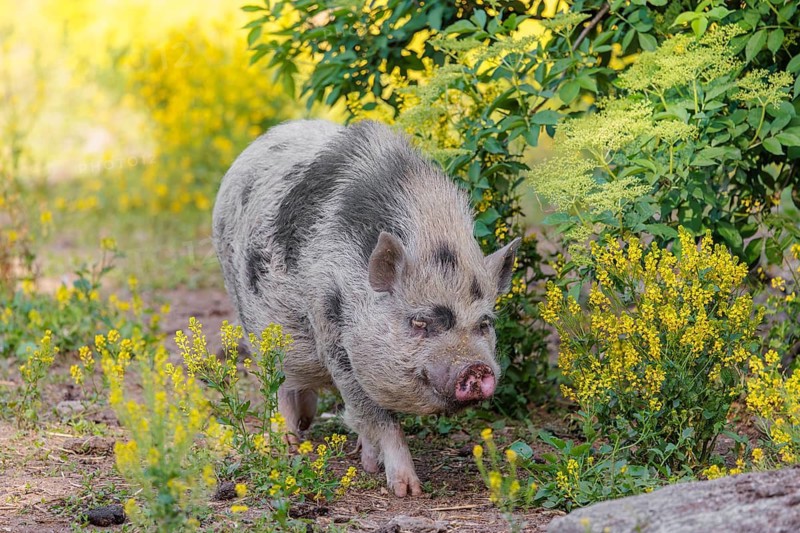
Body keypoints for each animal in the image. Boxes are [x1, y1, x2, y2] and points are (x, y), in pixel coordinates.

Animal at [212, 119, 520, 497]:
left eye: (484, 323)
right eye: (420, 322)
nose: (475, 367)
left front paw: (370, 462)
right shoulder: (334, 338)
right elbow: (376, 416)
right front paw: (407, 490)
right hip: (253, 320)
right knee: (281, 380)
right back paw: (289, 442)